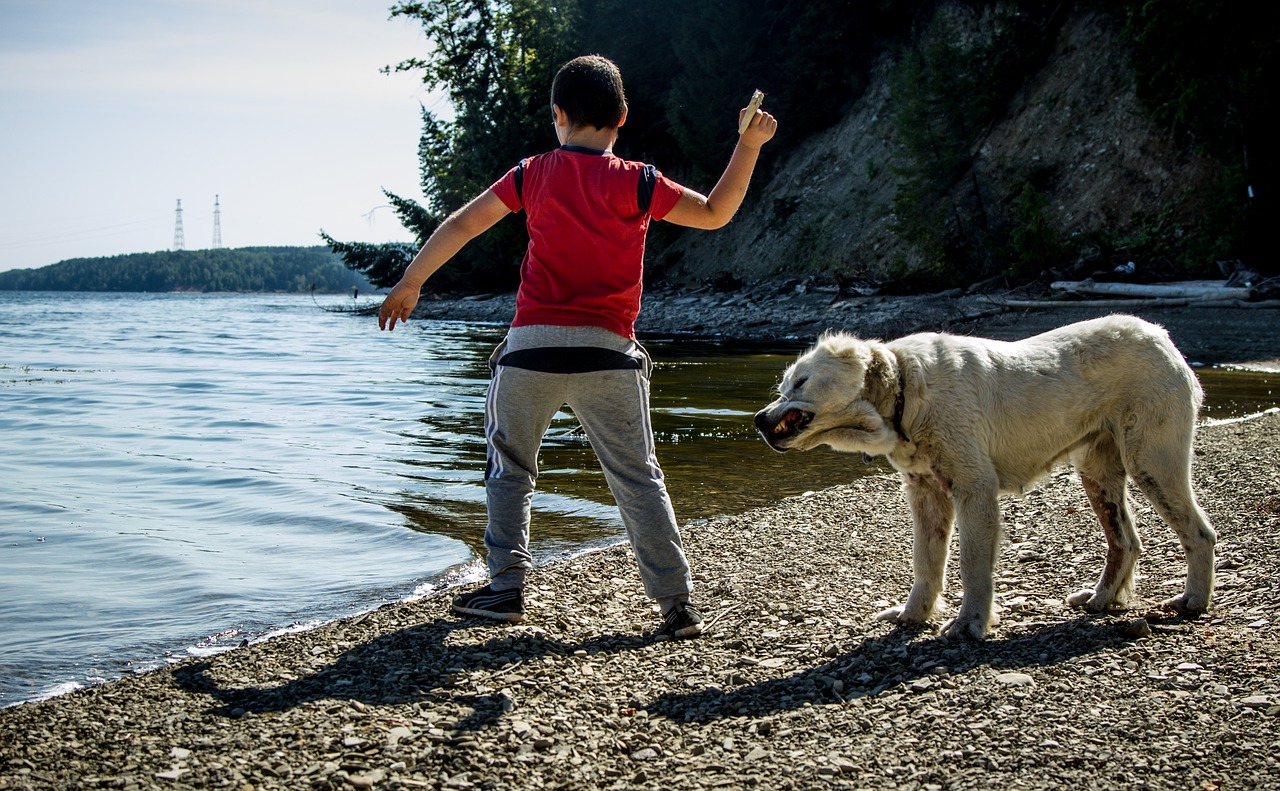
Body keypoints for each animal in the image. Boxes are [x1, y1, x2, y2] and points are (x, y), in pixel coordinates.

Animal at [752, 312, 1213, 634]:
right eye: (783, 387)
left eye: (800, 383)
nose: (758, 419)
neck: (904, 395)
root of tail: (1160, 335)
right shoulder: (926, 494)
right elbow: (926, 563)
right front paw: (913, 614)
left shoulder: (974, 488)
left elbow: (972, 564)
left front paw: (969, 623)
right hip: (1098, 473)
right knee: (1126, 543)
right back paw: (1101, 599)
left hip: (1152, 461)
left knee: (1199, 533)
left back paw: (1192, 600)